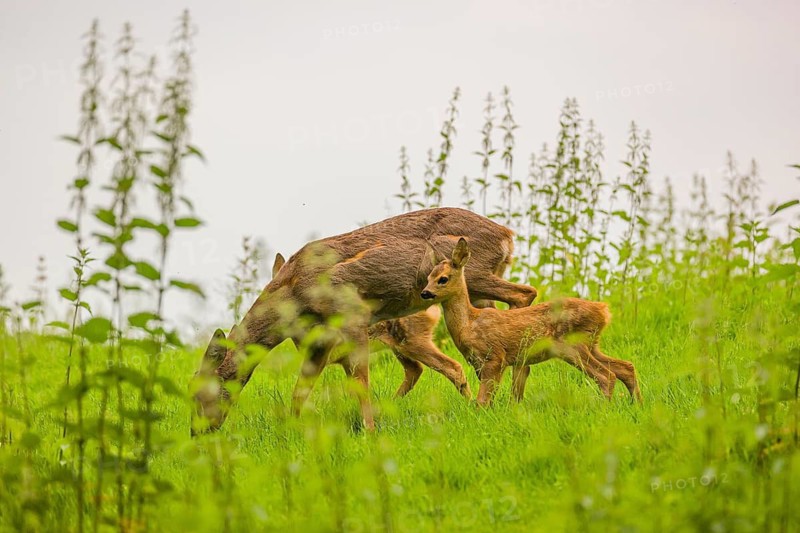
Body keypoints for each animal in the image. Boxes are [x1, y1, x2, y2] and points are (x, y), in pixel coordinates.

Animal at [191, 208, 538, 435]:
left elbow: (360, 384)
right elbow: (301, 389)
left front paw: (370, 431)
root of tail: (508, 235)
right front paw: (290, 428)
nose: (197, 432)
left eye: (201, 392)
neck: (294, 294)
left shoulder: (352, 316)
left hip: (474, 273)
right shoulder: (319, 342)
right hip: (476, 288)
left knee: (525, 293)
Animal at [420, 238, 642, 406]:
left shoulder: (494, 356)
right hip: (592, 344)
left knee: (606, 376)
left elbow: (482, 401)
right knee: (626, 367)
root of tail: (603, 311)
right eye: (428, 277)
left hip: (572, 345)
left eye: (443, 279)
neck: (468, 324)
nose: (425, 293)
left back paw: (605, 408)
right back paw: (637, 405)